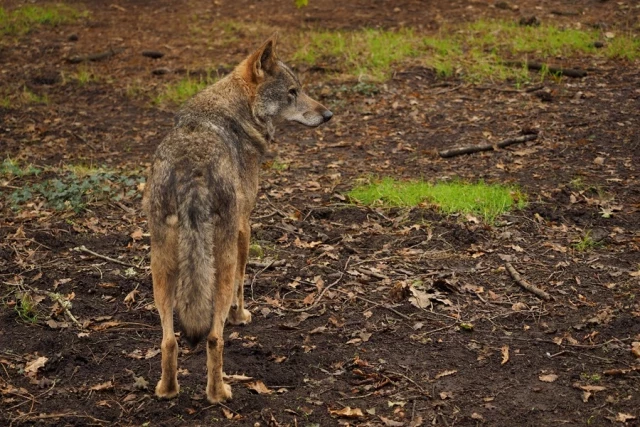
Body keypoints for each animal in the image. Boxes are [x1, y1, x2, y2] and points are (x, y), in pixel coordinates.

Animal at [143, 34, 332, 404]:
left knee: (169, 340)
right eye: (292, 92)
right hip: (221, 260)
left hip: (161, 266)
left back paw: (167, 390)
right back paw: (219, 393)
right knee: (214, 338)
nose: (328, 115)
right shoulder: (245, 227)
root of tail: (192, 169)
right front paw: (240, 315)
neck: (236, 112)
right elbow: (243, 284)